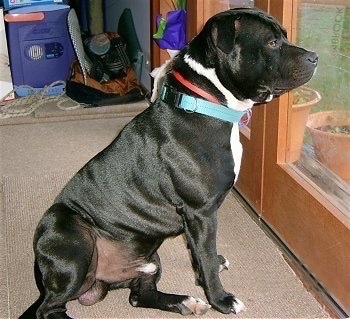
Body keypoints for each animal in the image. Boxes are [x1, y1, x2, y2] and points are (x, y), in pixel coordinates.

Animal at [20, 7, 318, 319]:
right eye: (272, 43)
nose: (315, 57)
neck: (207, 103)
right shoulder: (200, 213)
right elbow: (206, 259)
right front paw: (221, 299)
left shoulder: (197, 221)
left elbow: (201, 255)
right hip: (73, 239)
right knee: (49, 308)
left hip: (149, 258)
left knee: (139, 296)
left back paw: (185, 302)